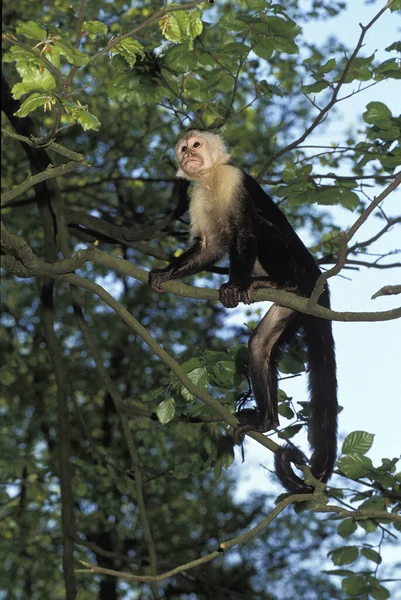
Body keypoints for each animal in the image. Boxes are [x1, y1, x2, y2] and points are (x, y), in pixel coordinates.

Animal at [148, 130, 336, 492]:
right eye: (183, 148)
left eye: (196, 145)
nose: (188, 155)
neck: (210, 178)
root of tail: (315, 279)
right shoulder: (196, 196)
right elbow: (209, 246)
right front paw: (165, 273)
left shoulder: (233, 178)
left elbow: (245, 231)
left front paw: (234, 284)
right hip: (292, 307)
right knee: (260, 345)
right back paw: (266, 421)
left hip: (303, 277)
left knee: (261, 227)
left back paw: (279, 280)